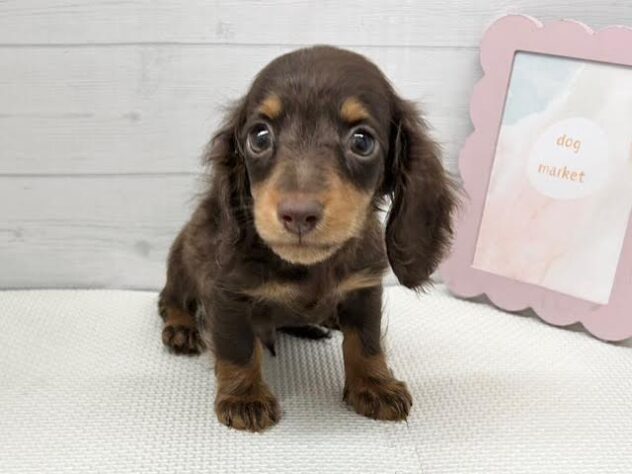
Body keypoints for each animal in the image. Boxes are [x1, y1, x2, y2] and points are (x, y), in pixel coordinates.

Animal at [158, 45, 457, 432]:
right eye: (259, 137)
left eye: (362, 141)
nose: (298, 215)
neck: (310, 267)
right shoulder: (227, 293)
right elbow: (237, 346)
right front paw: (244, 396)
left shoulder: (364, 287)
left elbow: (366, 340)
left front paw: (374, 384)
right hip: (181, 263)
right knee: (171, 299)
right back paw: (181, 328)